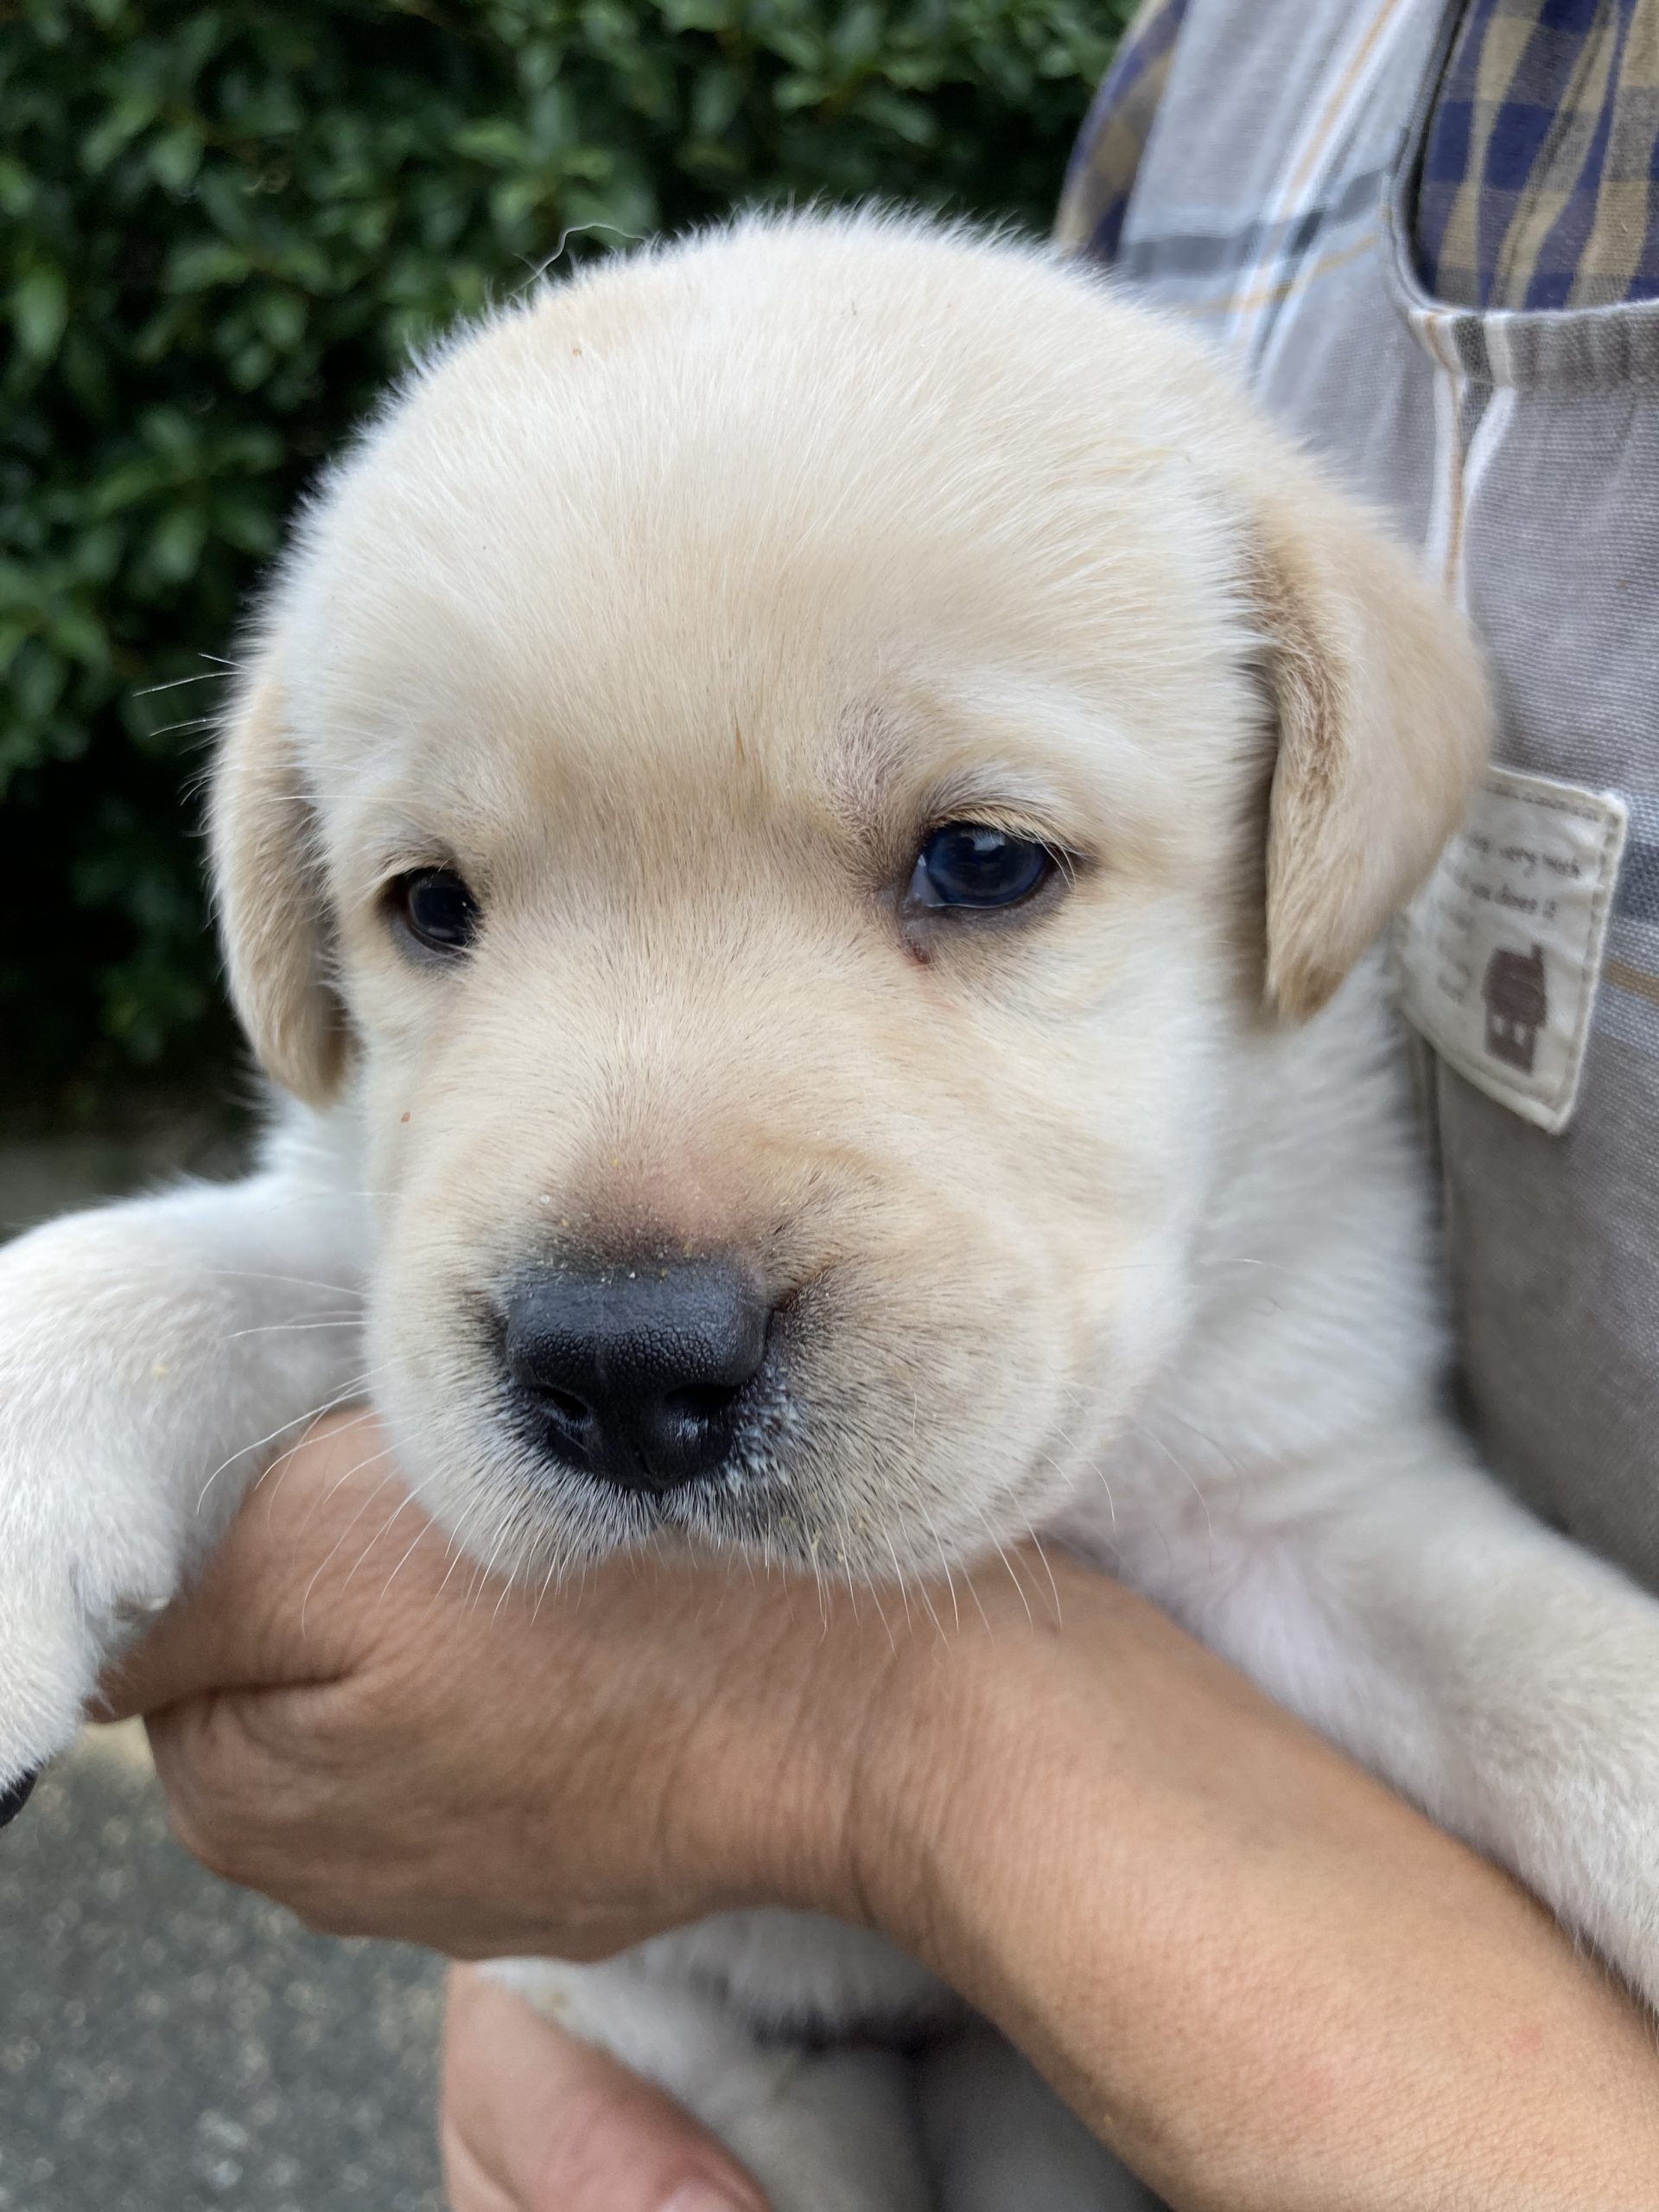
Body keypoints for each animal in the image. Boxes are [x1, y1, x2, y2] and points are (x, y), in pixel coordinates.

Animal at [3, 211, 1659, 2212]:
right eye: (428, 906)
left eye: (985, 860)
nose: (623, 1366)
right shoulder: (361, 1242)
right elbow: (160, 1270)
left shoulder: (1303, 1505)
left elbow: (1544, 1654)